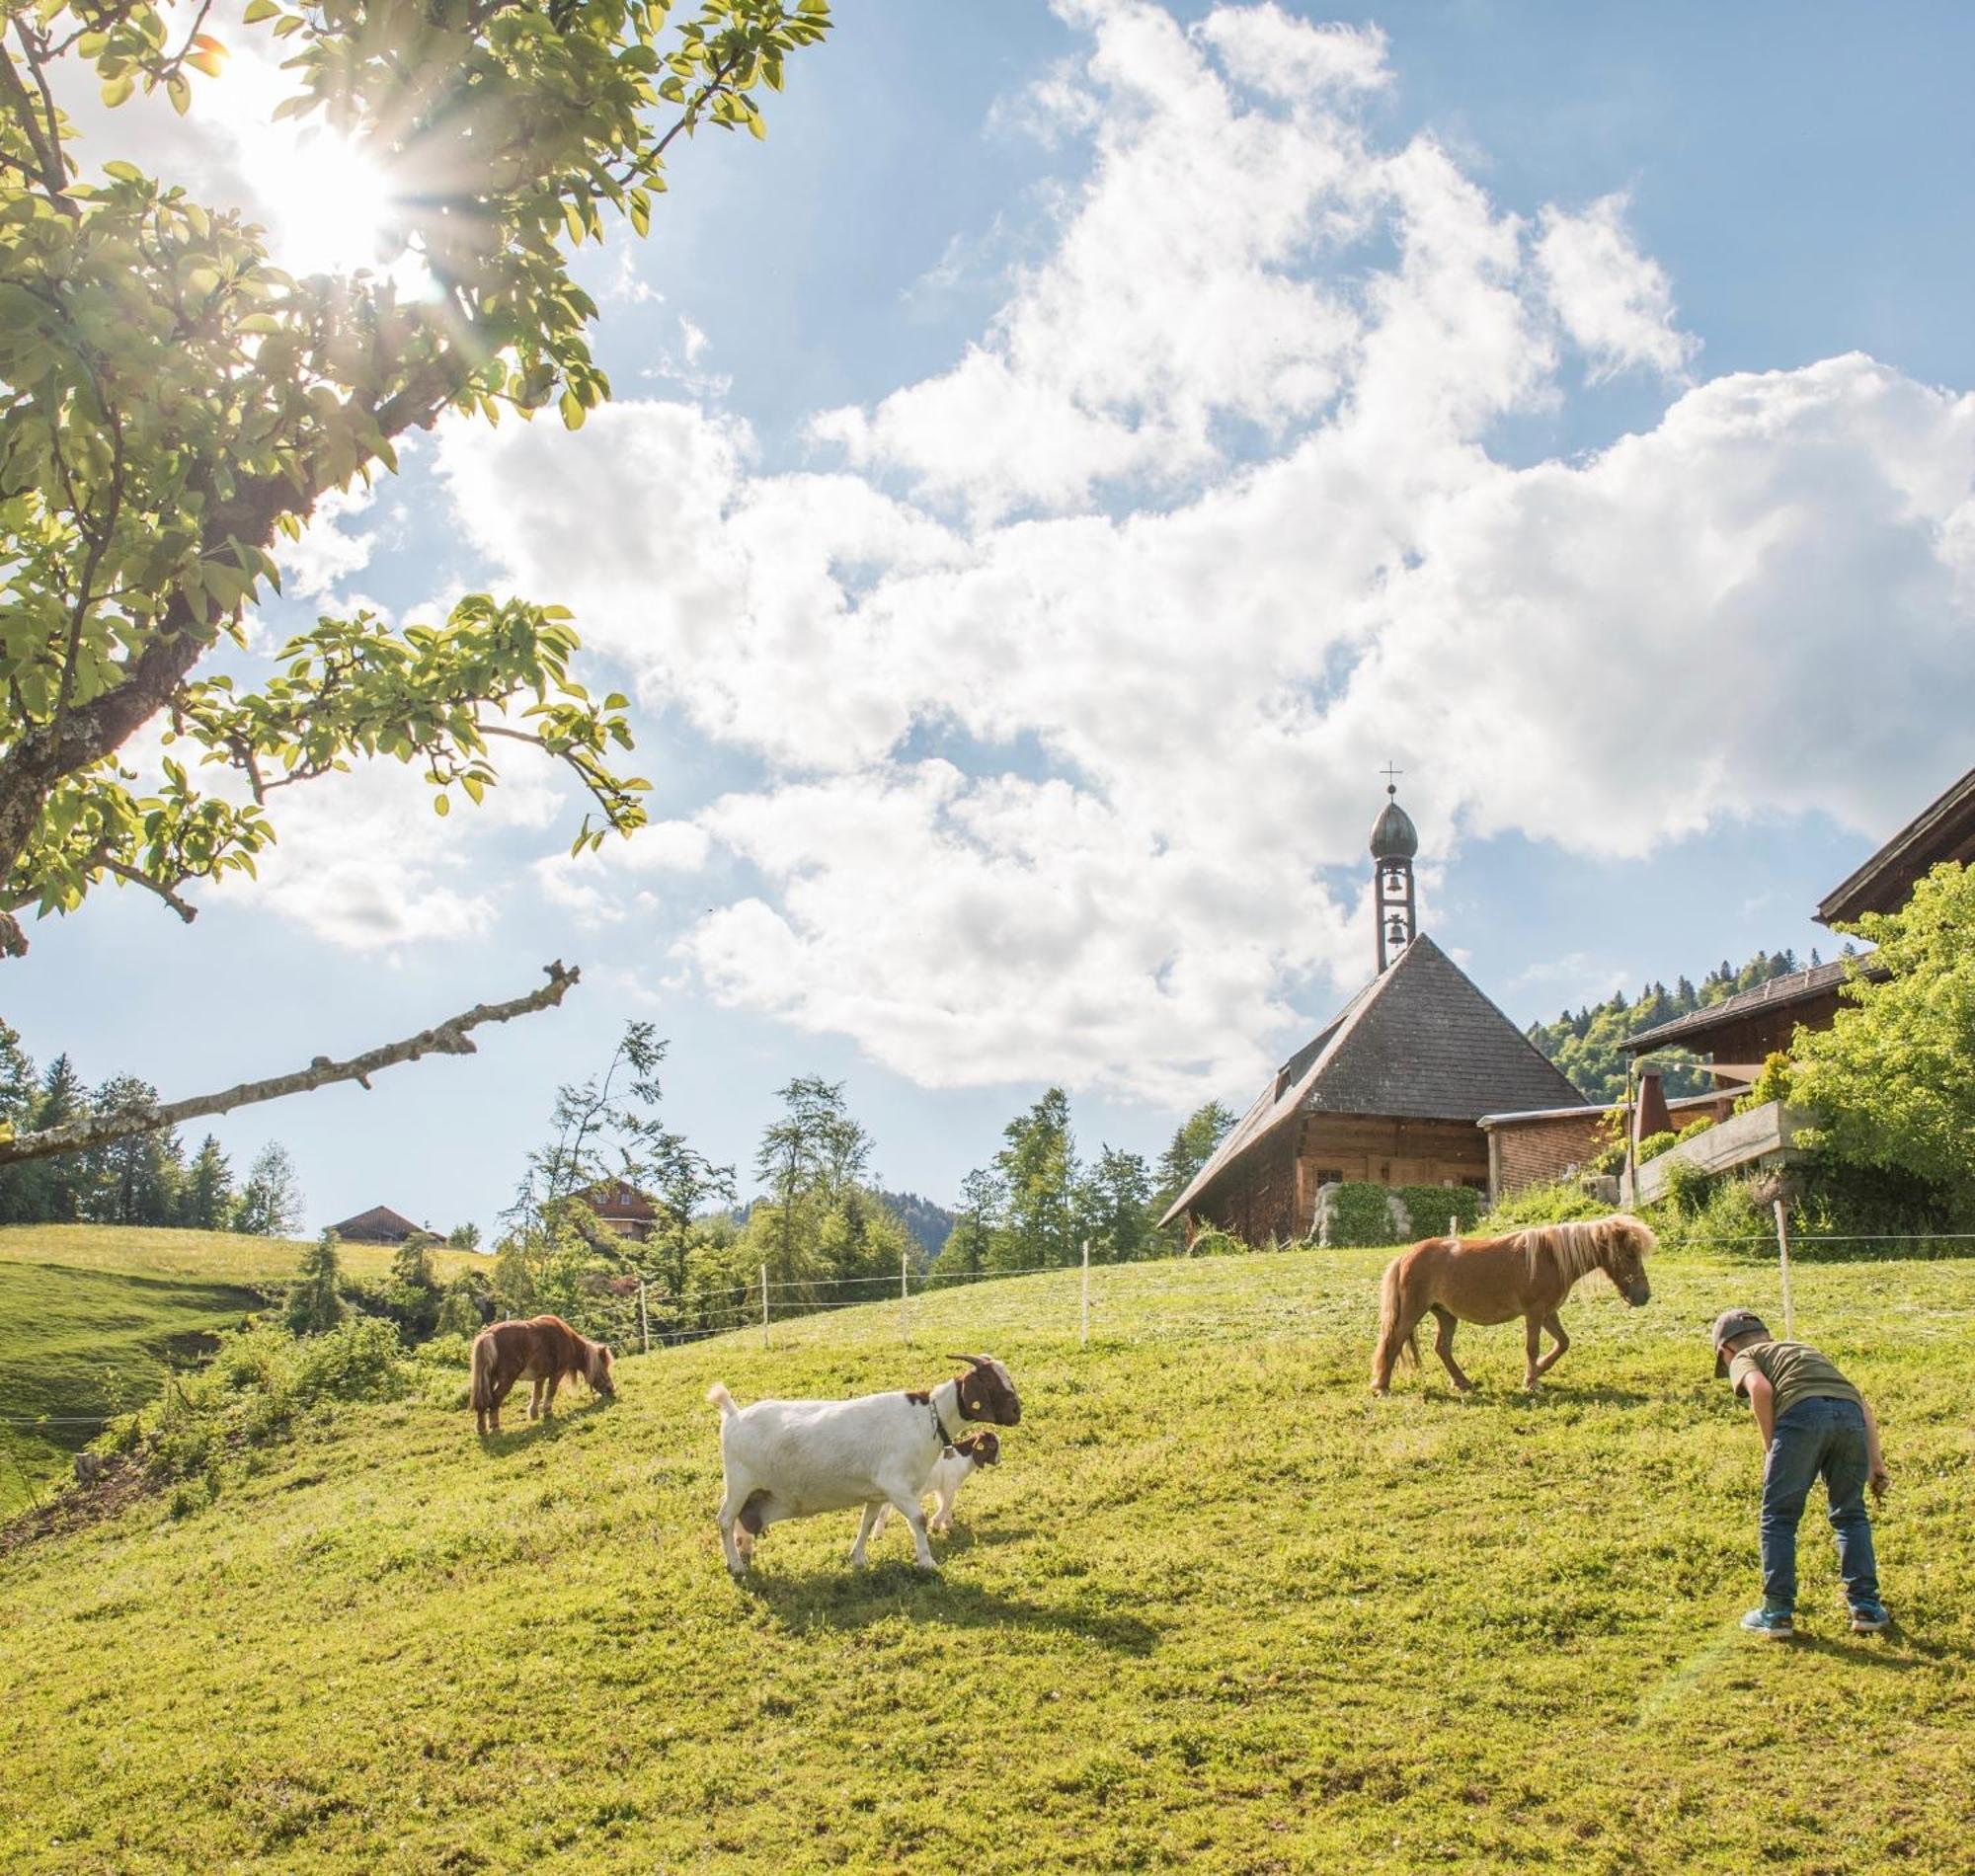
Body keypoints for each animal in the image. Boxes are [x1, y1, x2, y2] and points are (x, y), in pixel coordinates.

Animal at [468, 1319, 612, 1438]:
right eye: (603, 1367)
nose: (611, 1389)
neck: (566, 1340)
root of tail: (489, 1335)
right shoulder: (557, 1373)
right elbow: (551, 1392)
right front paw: (547, 1412)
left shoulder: (540, 1377)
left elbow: (537, 1394)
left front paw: (534, 1414)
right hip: (506, 1381)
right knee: (495, 1399)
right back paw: (495, 1425)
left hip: (489, 1380)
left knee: (483, 1401)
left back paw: (481, 1428)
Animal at [707, 1351, 1019, 1572]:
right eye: (993, 1383)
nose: (1017, 1413)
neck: (928, 1417)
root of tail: (733, 1416)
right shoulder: (895, 1485)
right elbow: (919, 1519)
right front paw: (927, 1561)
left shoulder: (877, 1493)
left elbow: (867, 1523)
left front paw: (858, 1558)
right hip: (739, 1483)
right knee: (725, 1520)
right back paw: (735, 1565)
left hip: (752, 1491)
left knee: (741, 1520)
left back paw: (745, 1551)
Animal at [1375, 1216, 1651, 1398]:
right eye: (1629, 1254)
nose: (1643, 1296)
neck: (1551, 1257)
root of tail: (1405, 1256)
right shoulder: (1535, 1313)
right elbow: (1532, 1347)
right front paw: (1531, 1382)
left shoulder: (1549, 1313)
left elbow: (1563, 1343)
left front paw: (1539, 1370)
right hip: (1412, 1312)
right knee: (1393, 1342)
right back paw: (1382, 1386)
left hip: (1446, 1315)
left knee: (1442, 1348)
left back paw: (1463, 1383)